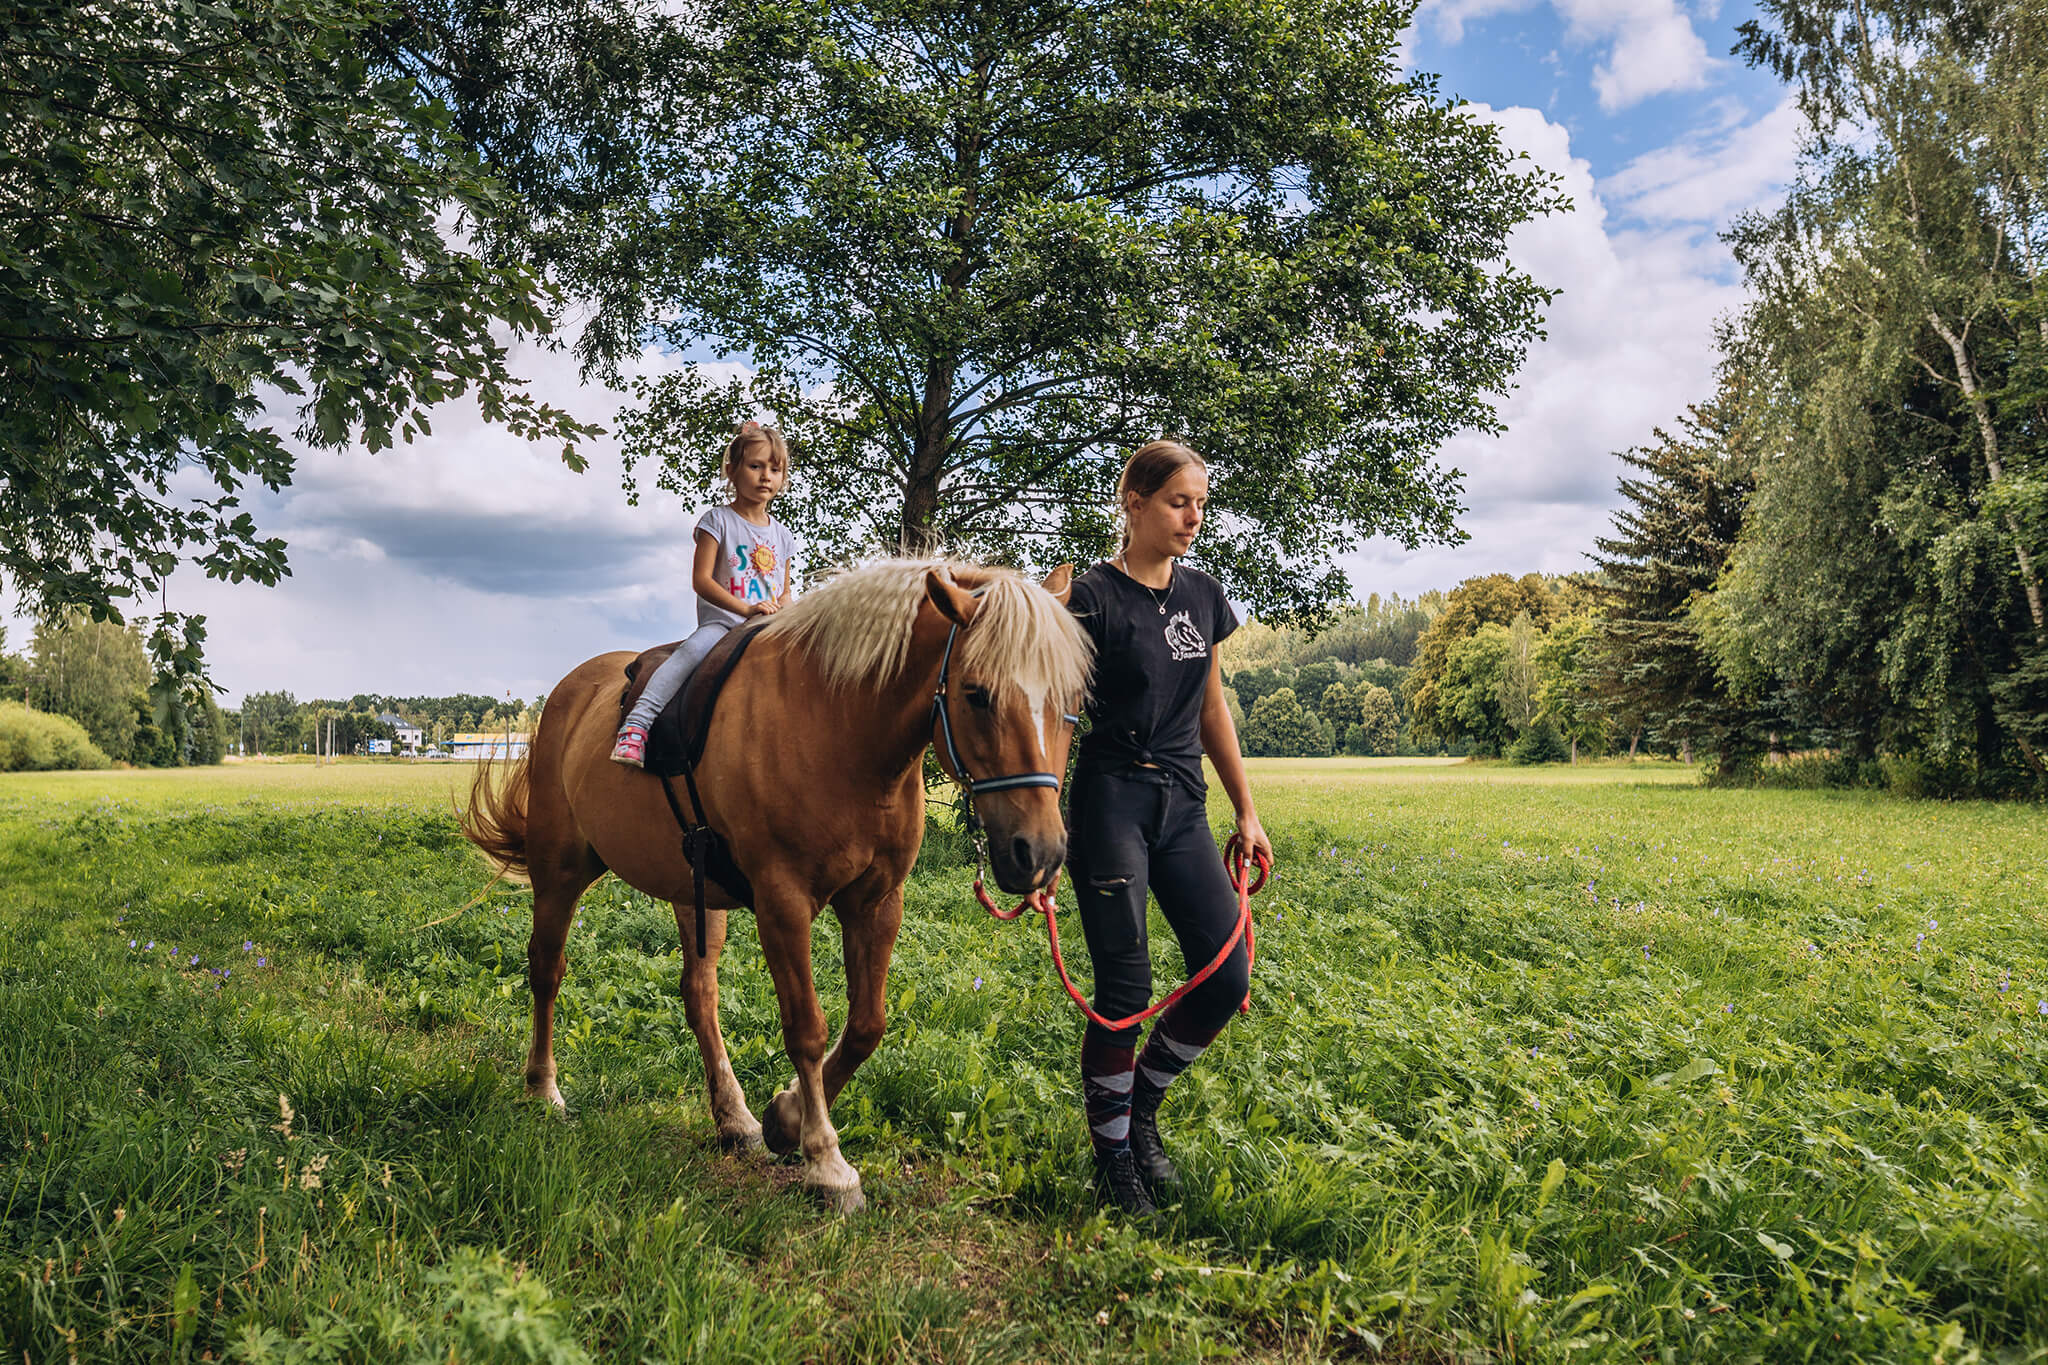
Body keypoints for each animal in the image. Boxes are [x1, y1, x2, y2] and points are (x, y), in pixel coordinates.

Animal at [458, 560, 1097, 1211]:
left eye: (1074, 701)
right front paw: (826, 1161)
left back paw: (734, 1118)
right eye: (977, 694)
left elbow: (867, 1025)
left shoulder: (877, 902)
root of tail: (571, 690)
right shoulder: (782, 904)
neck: (837, 726)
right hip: (559, 872)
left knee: (699, 993)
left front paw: (783, 1117)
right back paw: (543, 1090)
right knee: (546, 969)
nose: (1040, 853)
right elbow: (807, 1029)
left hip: (693, 891)